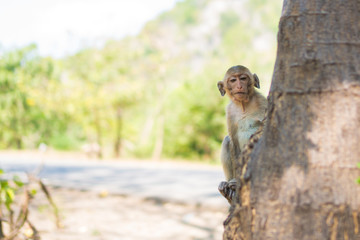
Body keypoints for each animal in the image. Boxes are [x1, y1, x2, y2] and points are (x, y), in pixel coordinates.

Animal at [217, 64, 268, 202]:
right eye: (233, 80)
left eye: (243, 78)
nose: (239, 86)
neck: (243, 105)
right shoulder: (230, 111)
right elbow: (233, 142)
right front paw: (234, 185)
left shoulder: (262, 102)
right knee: (227, 140)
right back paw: (228, 190)